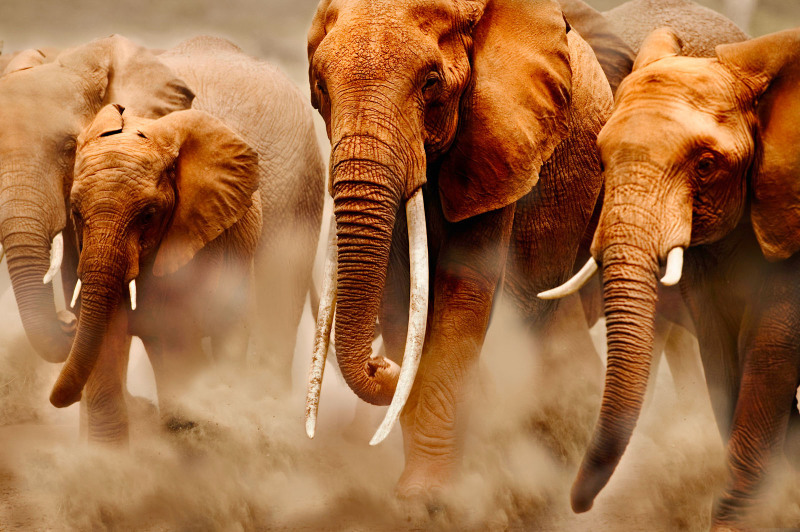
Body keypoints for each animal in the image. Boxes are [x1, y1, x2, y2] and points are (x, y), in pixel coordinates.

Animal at [545, 27, 800, 530]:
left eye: (705, 165)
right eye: (600, 159)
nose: (578, 504)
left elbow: (772, 347)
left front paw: (737, 523)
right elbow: (721, 349)